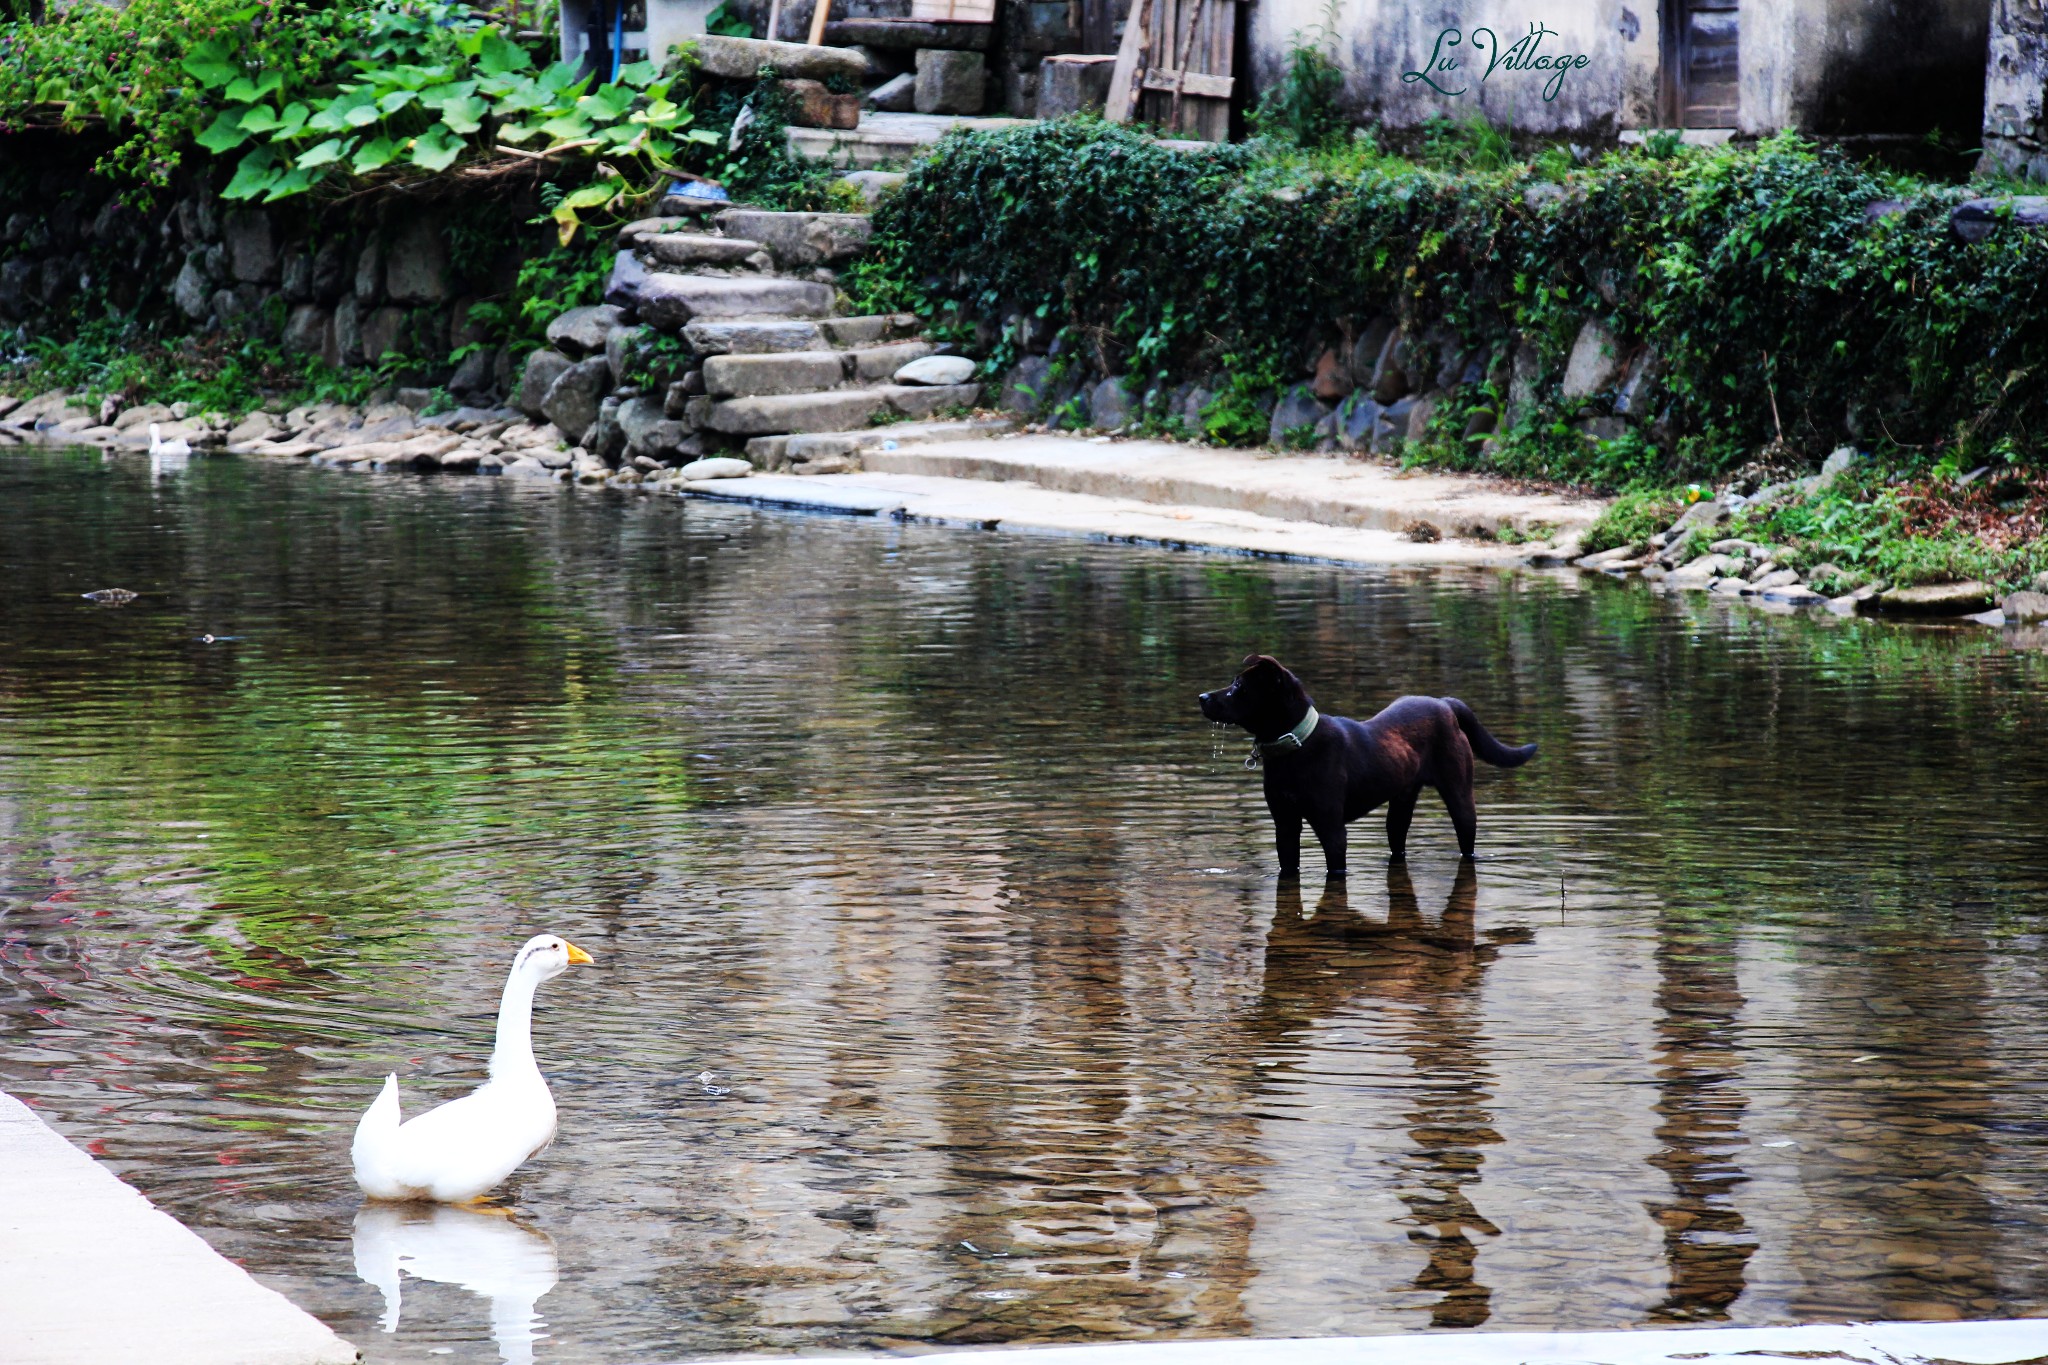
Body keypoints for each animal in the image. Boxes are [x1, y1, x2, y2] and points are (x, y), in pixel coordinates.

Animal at [1196, 658, 1540, 875]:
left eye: (1239, 686)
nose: (1201, 696)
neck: (1295, 745)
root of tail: (1445, 703)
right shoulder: (1285, 824)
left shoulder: (1332, 828)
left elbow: (1335, 869)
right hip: (1400, 806)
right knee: (1398, 842)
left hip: (1460, 795)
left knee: (1467, 839)